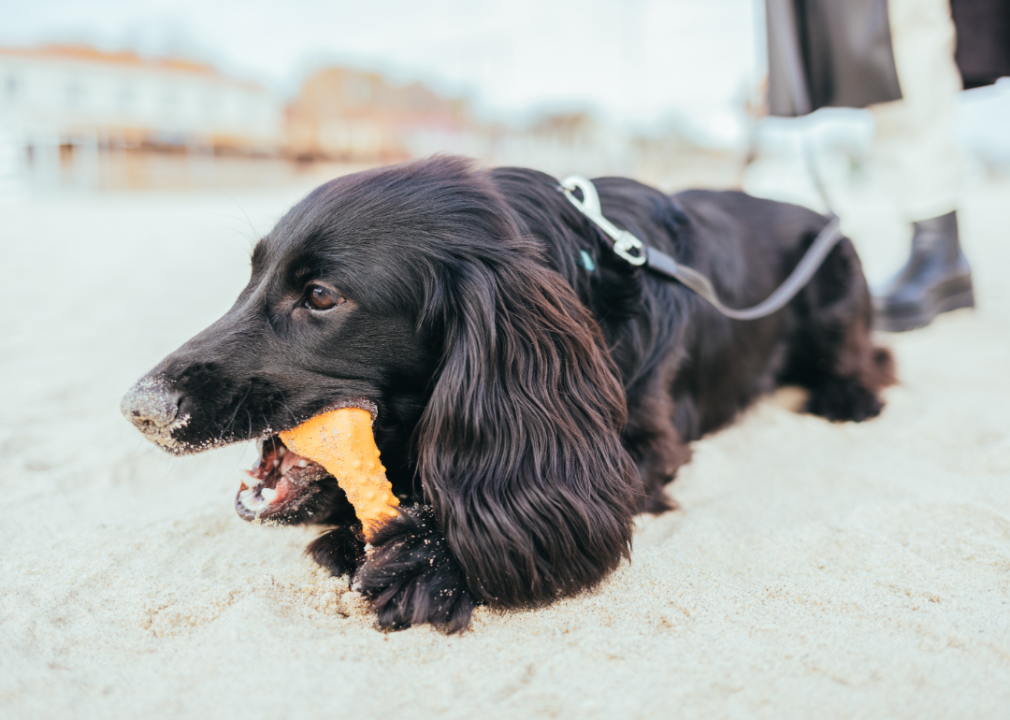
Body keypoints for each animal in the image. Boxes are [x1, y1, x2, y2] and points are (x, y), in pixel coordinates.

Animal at [124, 155, 892, 630]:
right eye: (251, 276)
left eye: (319, 296)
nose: (141, 411)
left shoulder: (644, 443)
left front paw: (427, 564)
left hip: (838, 278)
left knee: (871, 354)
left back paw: (849, 396)